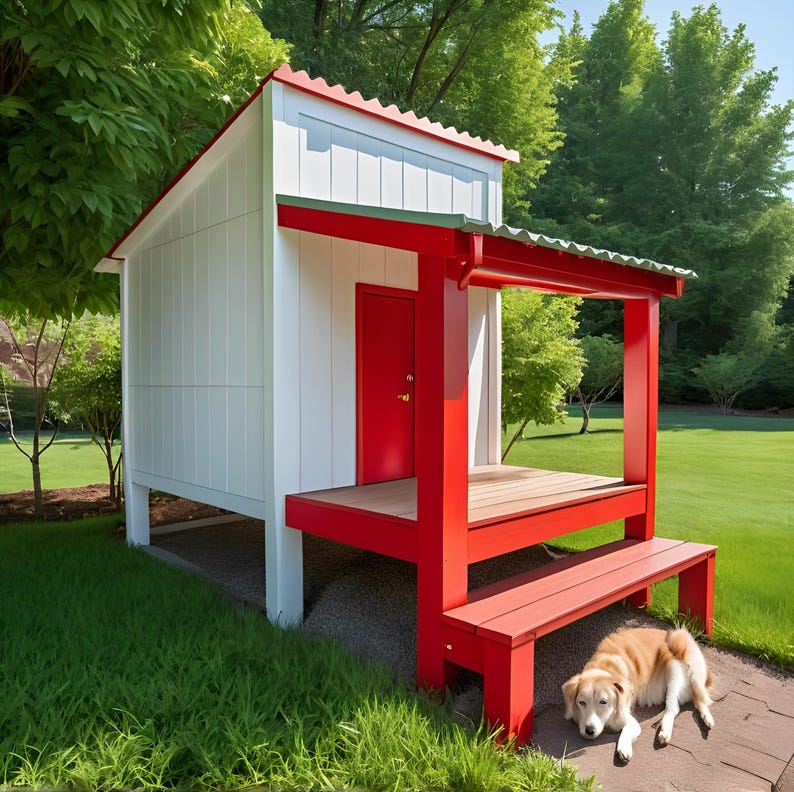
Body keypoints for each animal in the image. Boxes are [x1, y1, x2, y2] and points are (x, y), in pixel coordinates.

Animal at [560, 624, 716, 760]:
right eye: (582, 702)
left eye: (603, 702)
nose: (589, 731)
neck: (605, 666)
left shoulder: (628, 718)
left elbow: (627, 730)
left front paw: (624, 747)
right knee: (698, 701)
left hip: (676, 656)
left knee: (674, 706)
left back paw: (665, 730)